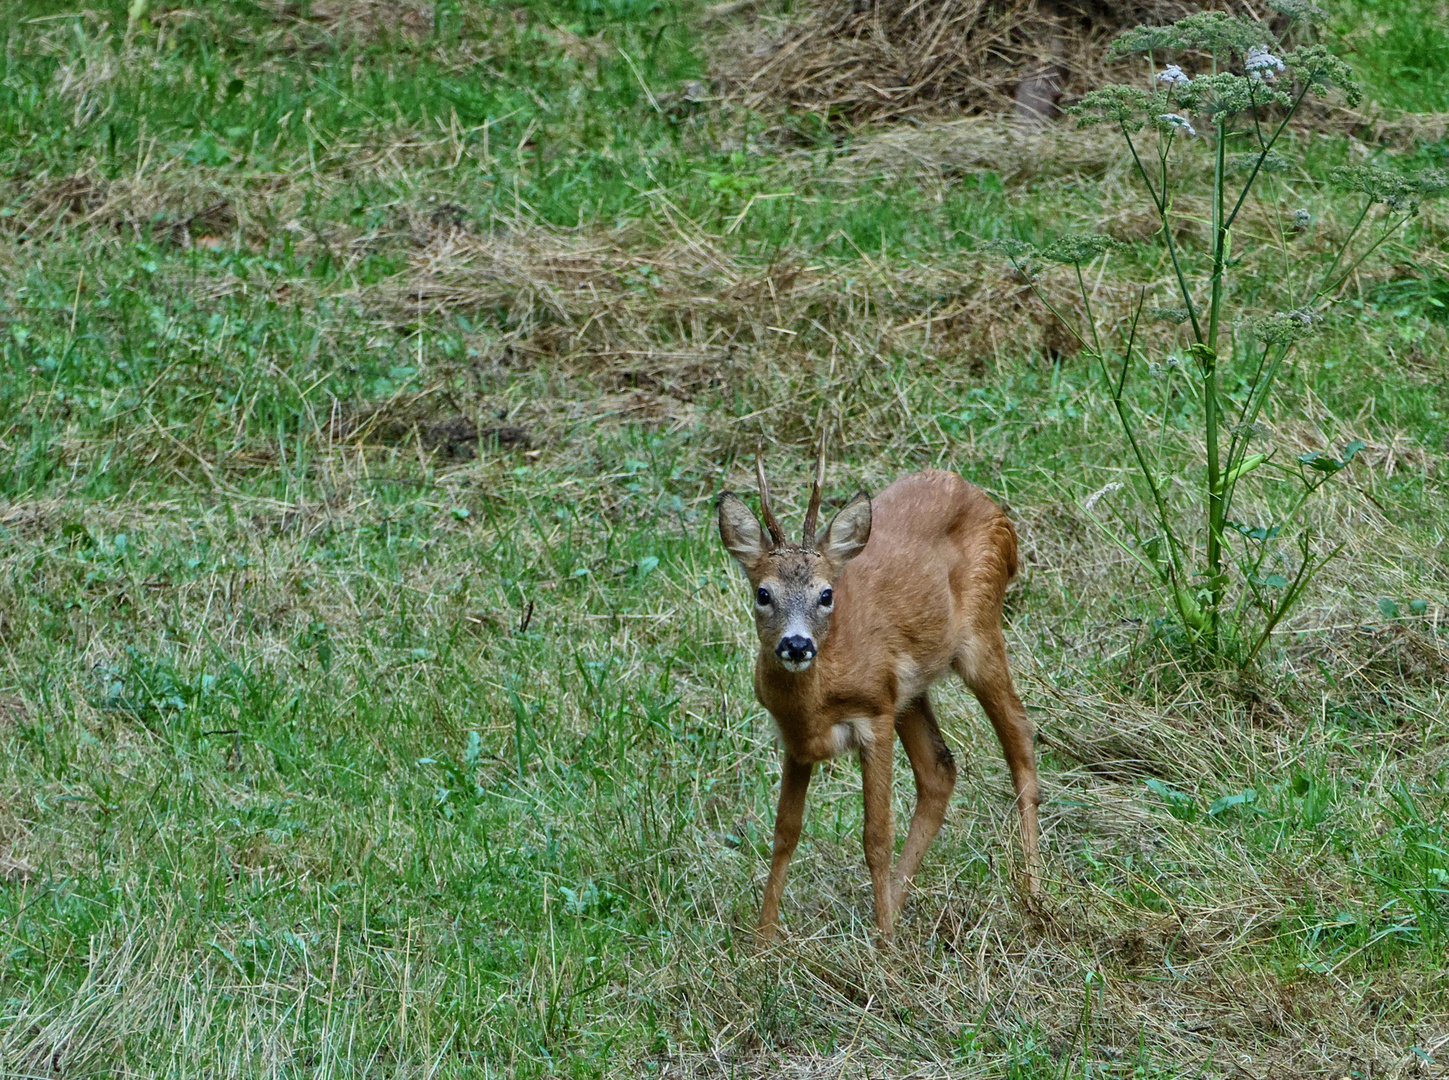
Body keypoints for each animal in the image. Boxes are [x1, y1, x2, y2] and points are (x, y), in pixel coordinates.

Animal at [715, 443, 1043, 939]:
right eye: (763, 593)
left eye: (826, 594)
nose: (796, 644)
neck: (815, 704)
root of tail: (995, 510)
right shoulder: (796, 743)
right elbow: (784, 834)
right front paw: (762, 941)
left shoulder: (874, 715)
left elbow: (876, 835)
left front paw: (884, 946)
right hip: (908, 690)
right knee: (940, 769)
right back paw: (896, 902)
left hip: (979, 634)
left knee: (1019, 735)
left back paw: (1033, 889)